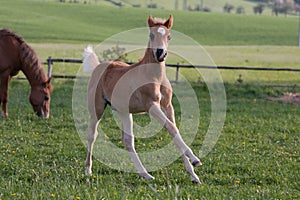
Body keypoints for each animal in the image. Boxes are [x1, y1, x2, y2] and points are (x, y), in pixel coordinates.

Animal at [83, 15, 203, 184]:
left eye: (169, 36)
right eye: (151, 35)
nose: (160, 54)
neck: (154, 77)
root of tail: (98, 66)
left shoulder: (167, 105)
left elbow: (174, 130)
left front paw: (193, 175)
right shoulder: (151, 105)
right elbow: (171, 128)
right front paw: (195, 160)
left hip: (125, 112)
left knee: (128, 141)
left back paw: (145, 174)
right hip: (97, 108)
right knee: (92, 135)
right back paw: (88, 170)